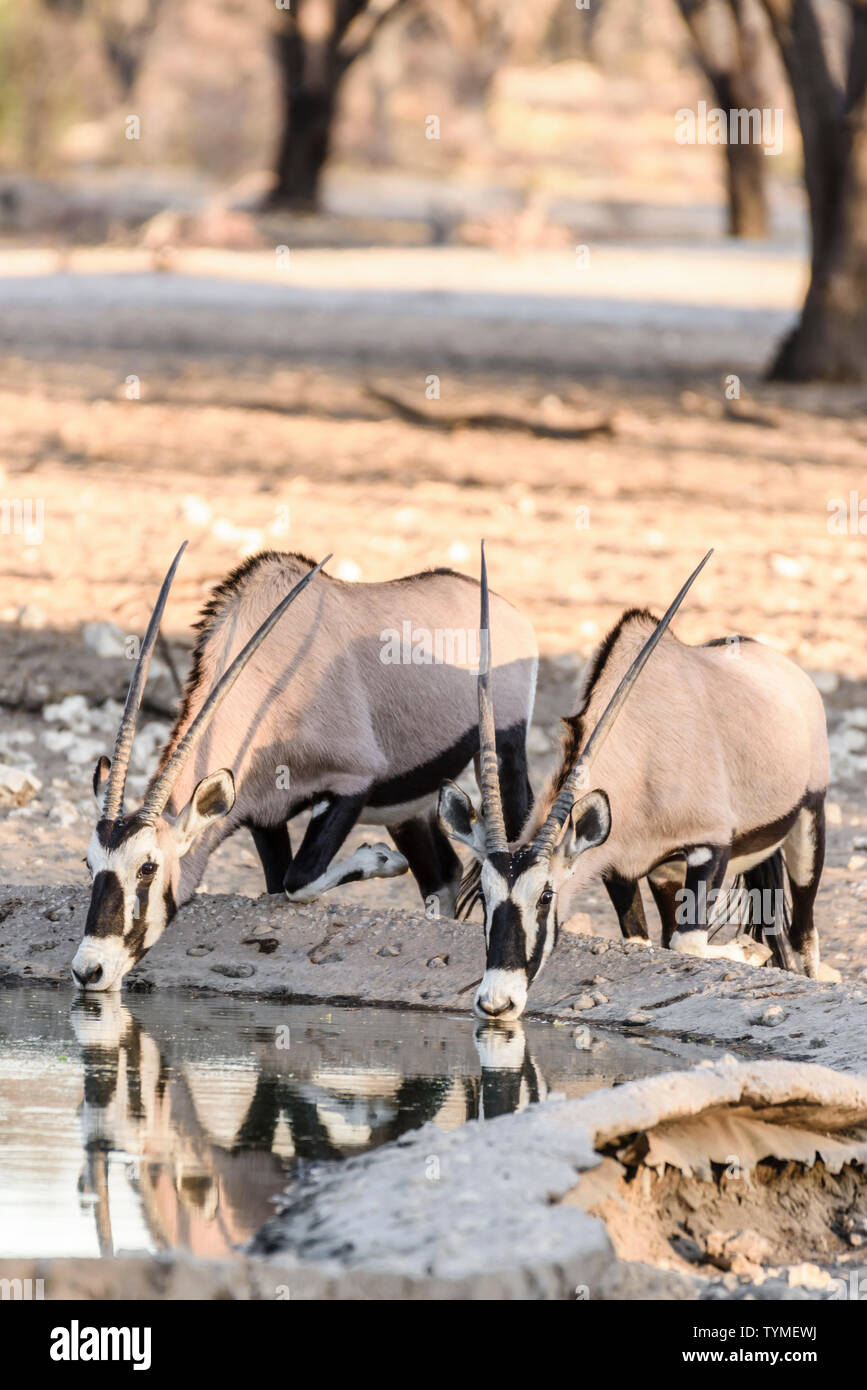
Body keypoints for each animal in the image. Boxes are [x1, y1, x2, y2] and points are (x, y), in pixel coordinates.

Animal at [72, 542, 536, 989]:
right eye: (89, 864)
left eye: (147, 867)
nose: (88, 970)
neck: (267, 685)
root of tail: (507, 609)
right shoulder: (264, 816)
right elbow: (278, 885)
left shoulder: (351, 783)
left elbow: (299, 880)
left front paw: (380, 858)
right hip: (410, 809)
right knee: (442, 874)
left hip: (503, 749)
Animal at [436, 544, 828, 1023]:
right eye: (485, 895)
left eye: (546, 896)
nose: (497, 1002)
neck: (643, 757)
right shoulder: (619, 868)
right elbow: (646, 942)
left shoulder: (711, 846)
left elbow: (688, 942)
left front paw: (748, 952)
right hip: (668, 876)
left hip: (807, 823)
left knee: (804, 934)